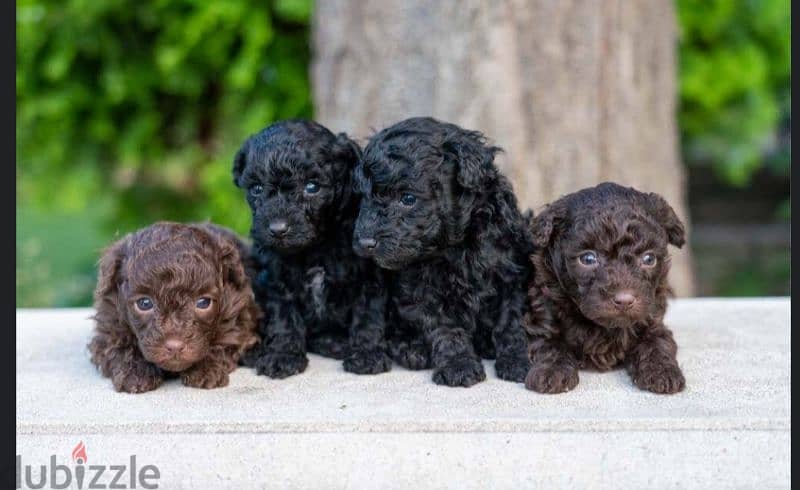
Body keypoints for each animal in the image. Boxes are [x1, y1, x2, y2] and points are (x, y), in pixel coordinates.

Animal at [89, 222, 260, 394]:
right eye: (144, 303)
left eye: (203, 303)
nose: (175, 346)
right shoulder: (110, 322)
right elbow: (117, 345)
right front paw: (135, 372)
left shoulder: (237, 318)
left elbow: (225, 340)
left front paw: (206, 370)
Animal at [231, 119, 390, 378]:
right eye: (256, 189)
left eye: (312, 186)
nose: (277, 229)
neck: (315, 246)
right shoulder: (276, 280)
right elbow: (284, 319)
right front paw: (283, 356)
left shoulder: (368, 278)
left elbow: (368, 317)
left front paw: (367, 355)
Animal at [354, 116, 536, 386]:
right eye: (364, 197)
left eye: (408, 198)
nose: (365, 241)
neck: (456, 245)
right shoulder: (423, 290)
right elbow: (446, 329)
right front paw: (458, 365)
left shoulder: (511, 275)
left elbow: (510, 323)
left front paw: (517, 360)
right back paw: (412, 350)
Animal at [524, 183, 688, 394]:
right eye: (588, 259)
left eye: (649, 259)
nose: (624, 300)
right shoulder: (545, 313)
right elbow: (549, 342)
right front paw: (552, 371)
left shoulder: (653, 320)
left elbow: (658, 343)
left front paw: (662, 371)